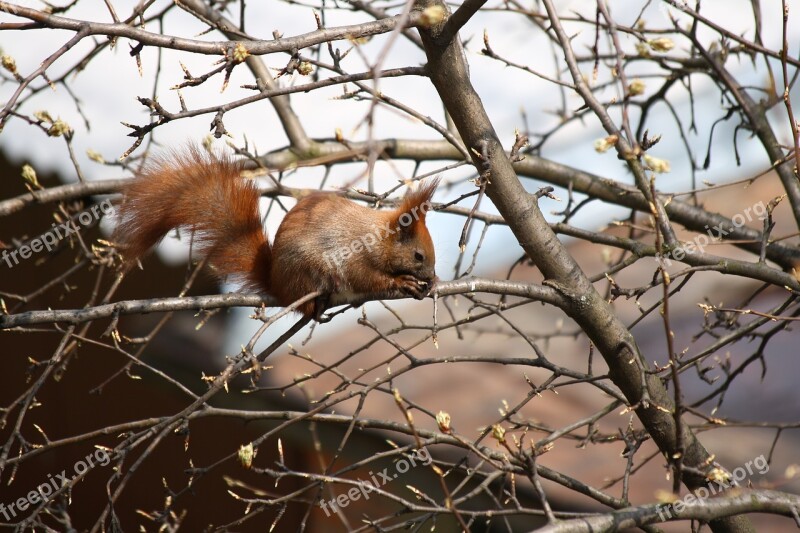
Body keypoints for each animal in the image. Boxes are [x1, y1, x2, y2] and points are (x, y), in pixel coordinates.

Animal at [111, 145, 438, 318]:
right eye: (418, 256)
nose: (432, 276)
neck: (378, 238)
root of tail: (276, 284)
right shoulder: (355, 256)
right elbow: (365, 278)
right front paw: (403, 282)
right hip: (305, 271)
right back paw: (316, 304)